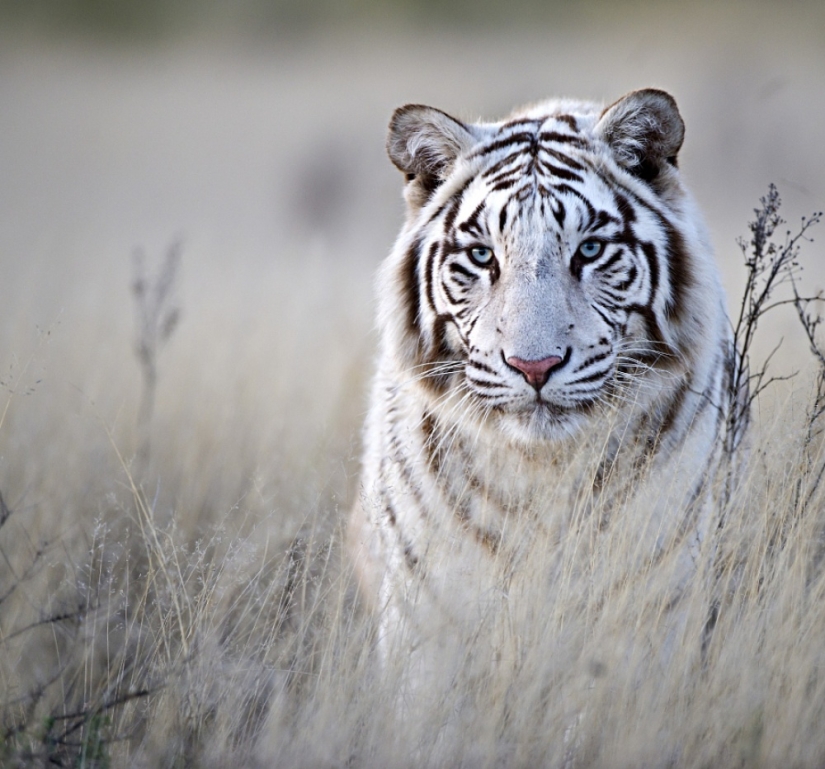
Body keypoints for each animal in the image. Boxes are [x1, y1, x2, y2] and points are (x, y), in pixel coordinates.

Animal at [348, 89, 743, 693]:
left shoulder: (652, 610)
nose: (534, 366)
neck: (544, 474)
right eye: (482, 256)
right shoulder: (431, 623)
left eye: (590, 250)